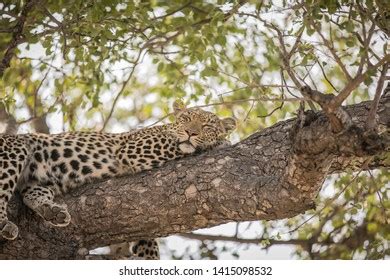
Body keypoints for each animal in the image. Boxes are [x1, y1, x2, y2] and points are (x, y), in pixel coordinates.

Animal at [0, 100, 236, 258]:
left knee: (31, 194)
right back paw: (6, 225)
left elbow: (146, 235)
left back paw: (53, 212)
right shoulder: (135, 148)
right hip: (15, 149)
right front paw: (221, 143)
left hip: (40, 181)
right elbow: (180, 147)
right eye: (186, 119)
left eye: (207, 127)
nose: (190, 133)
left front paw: (148, 254)